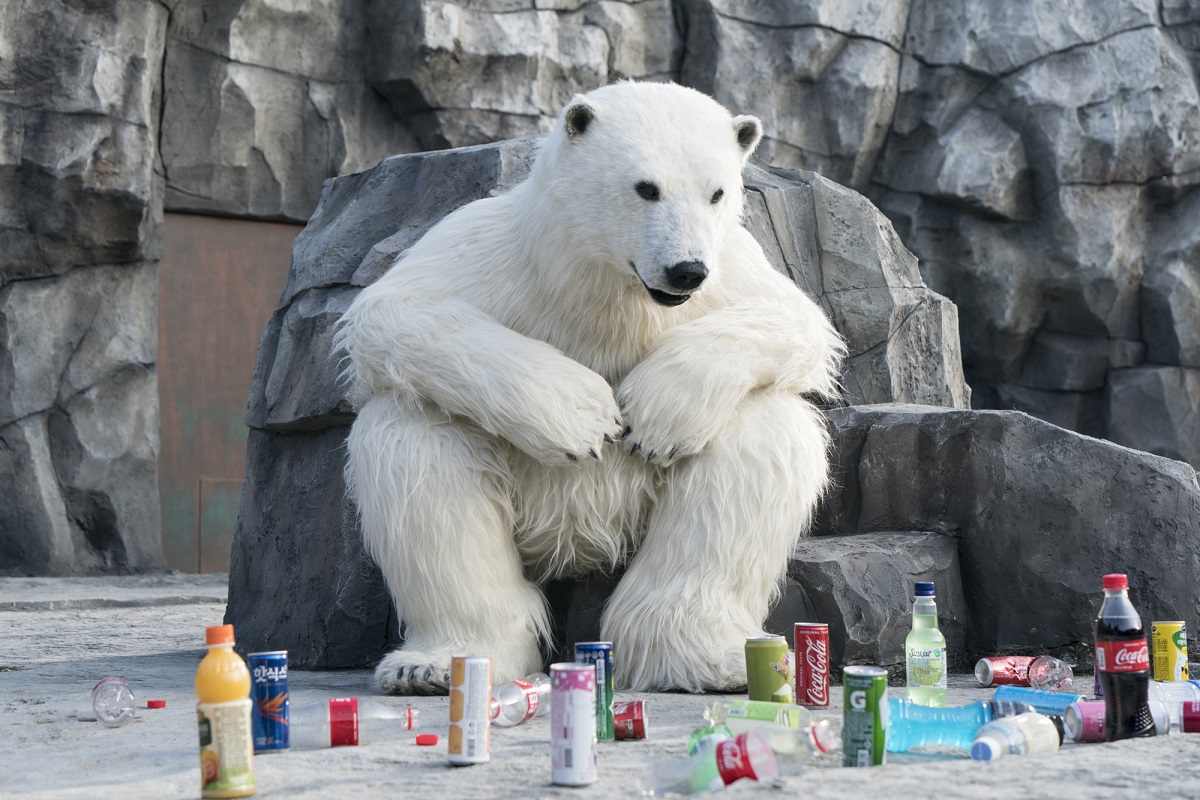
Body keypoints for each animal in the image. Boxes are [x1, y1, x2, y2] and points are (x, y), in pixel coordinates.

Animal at [338, 82, 844, 695]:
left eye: (717, 192)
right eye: (646, 187)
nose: (686, 269)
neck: (610, 288)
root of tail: (578, 547)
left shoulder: (731, 271)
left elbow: (795, 320)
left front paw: (656, 410)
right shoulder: (492, 251)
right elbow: (393, 312)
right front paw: (583, 417)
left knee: (759, 434)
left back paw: (706, 657)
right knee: (417, 438)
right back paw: (438, 663)